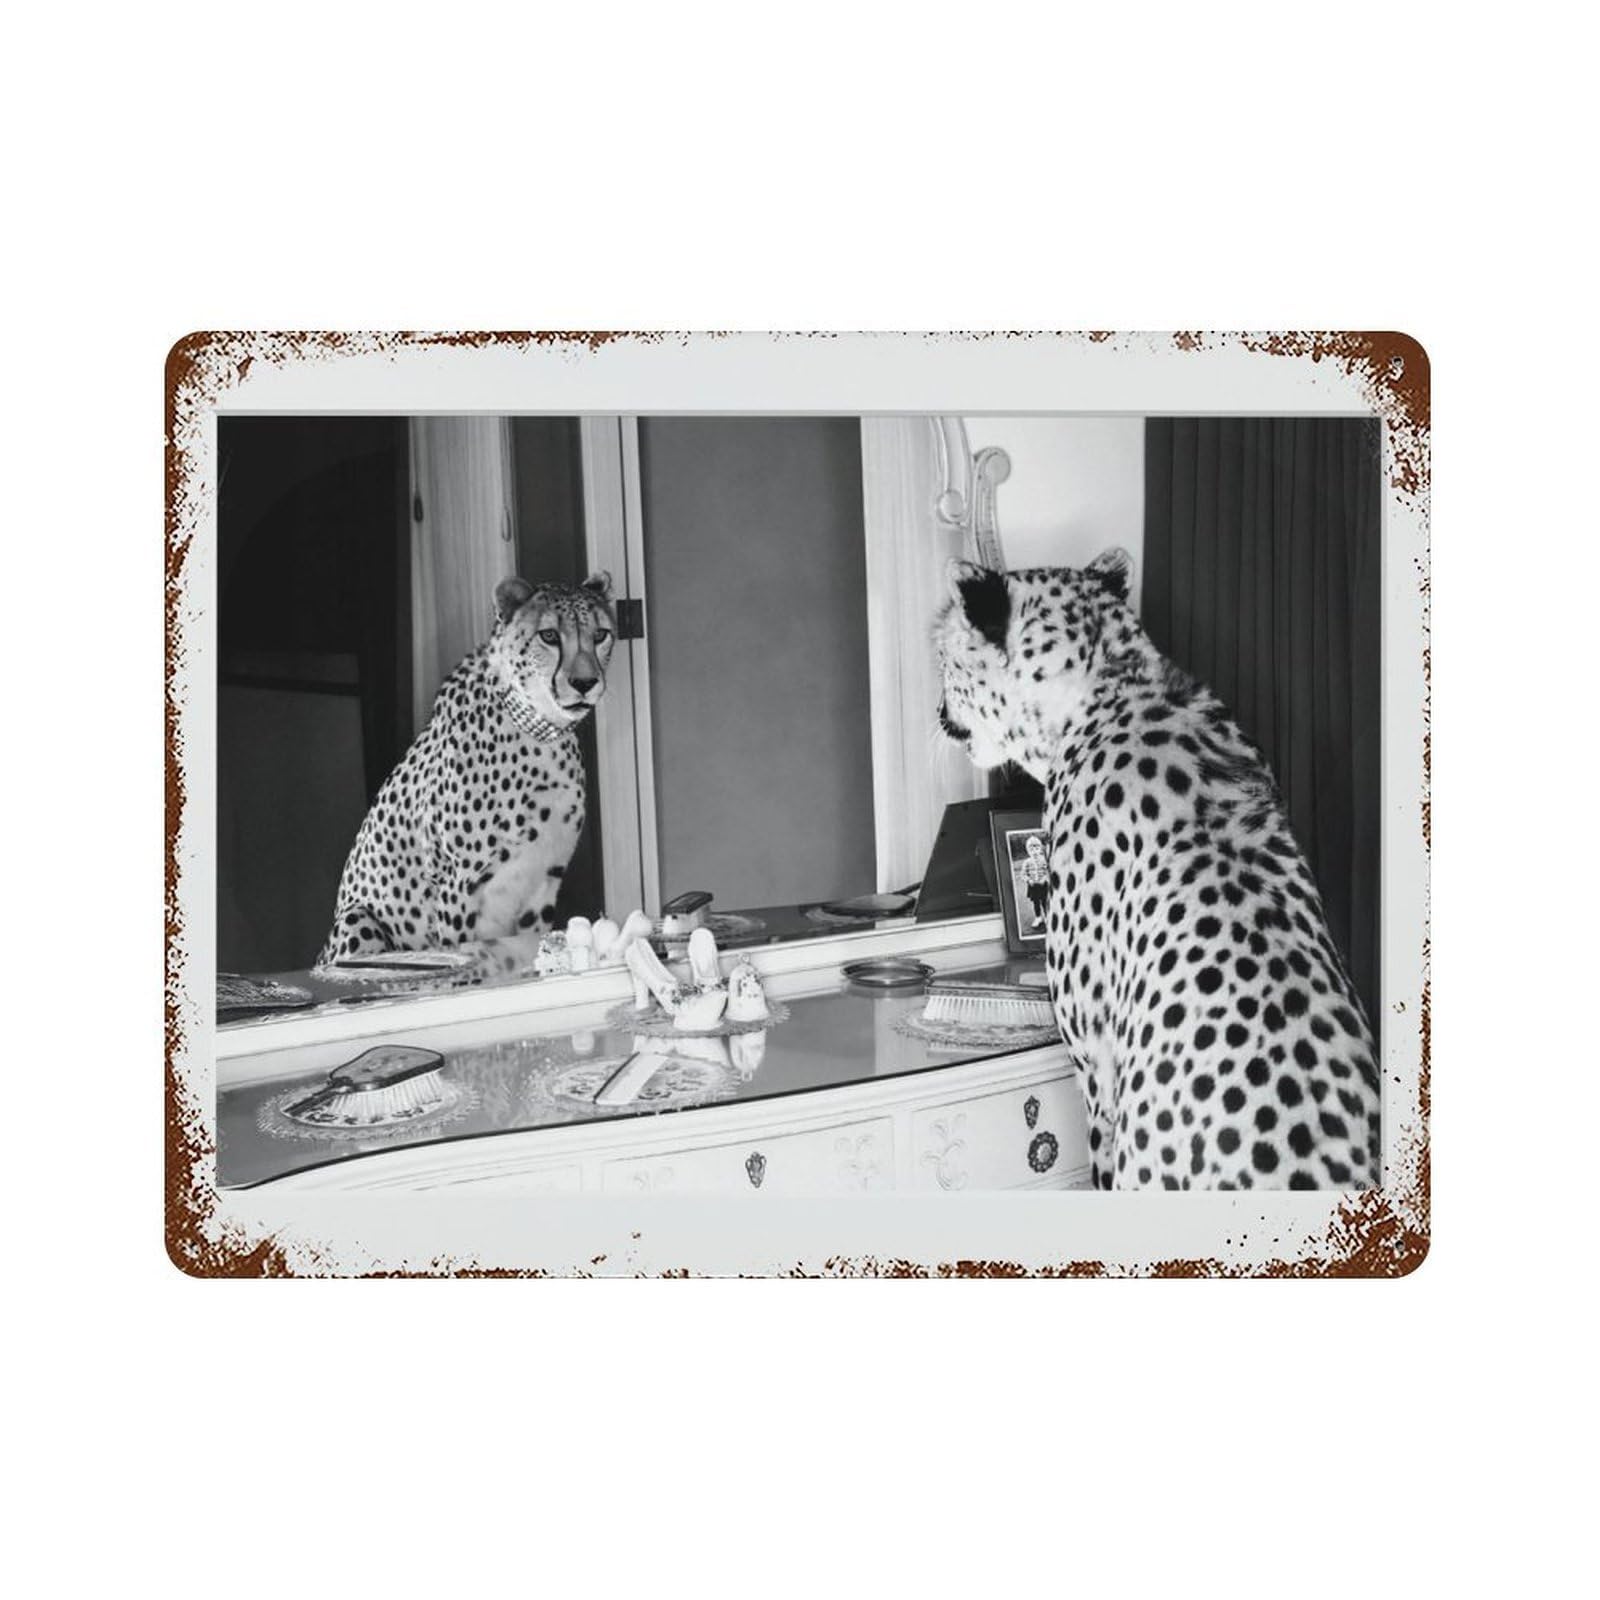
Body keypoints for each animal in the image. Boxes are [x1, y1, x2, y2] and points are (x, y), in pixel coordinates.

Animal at [317, 572, 616, 968]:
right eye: (549, 636)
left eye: (601, 635)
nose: (585, 683)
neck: (538, 730)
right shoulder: (457, 882)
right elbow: (462, 947)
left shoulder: (544, 880)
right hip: (357, 917)